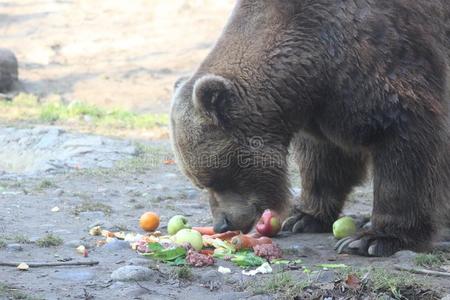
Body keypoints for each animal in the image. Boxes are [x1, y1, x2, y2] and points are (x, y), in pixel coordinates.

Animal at [170, 1, 450, 256]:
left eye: (214, 179)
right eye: (200, 183)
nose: (222, 224)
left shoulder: (385, 57)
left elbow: (405, 145)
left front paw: (373, 239)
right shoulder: (323, 106)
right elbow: (323, 159)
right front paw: (304, 217)